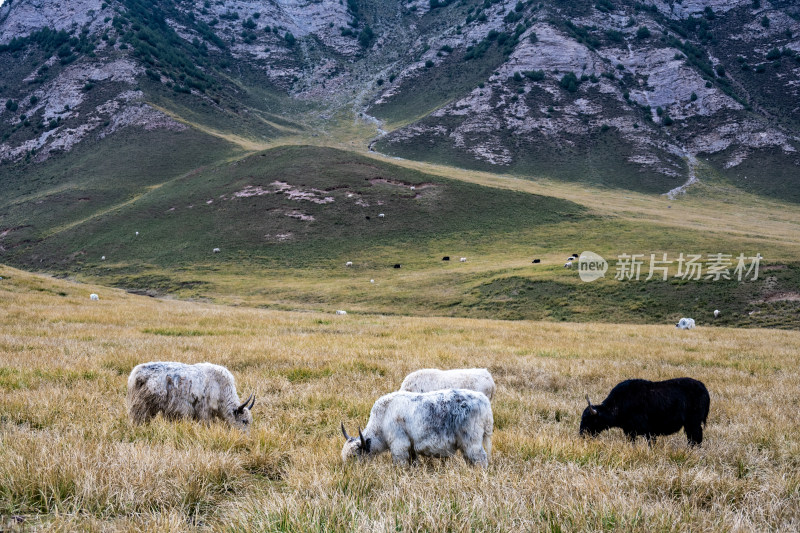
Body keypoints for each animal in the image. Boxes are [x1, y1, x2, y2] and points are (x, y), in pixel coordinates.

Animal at [126, 360, 255, 430]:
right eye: (244, 421)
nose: (246, 438)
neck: (220, 386)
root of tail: (135, 373)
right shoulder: (204, 411)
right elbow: (206, 423)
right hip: (141, 405)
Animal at [340, 386, 490, 466]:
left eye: (353, 456)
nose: (348, 472)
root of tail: (484, 400)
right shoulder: (410, 446)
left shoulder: (399, 445)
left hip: (472, 441)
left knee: (480, 458)